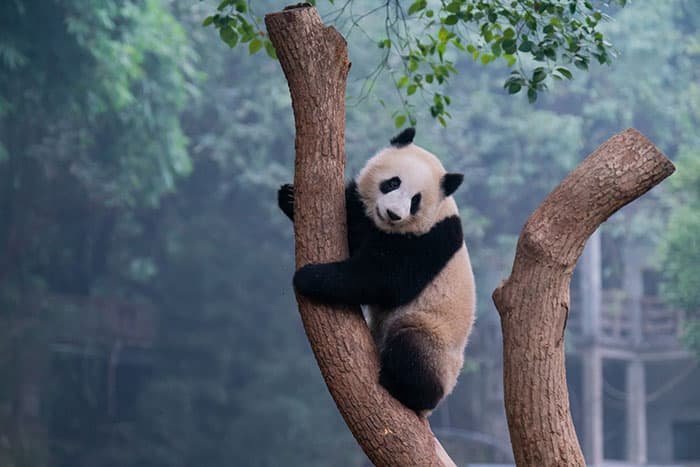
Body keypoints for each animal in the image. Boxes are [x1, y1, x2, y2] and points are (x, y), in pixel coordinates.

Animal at [278, 128, 475, 416]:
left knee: (411, 346)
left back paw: (406, 390)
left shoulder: (430, 241)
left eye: (416, 200)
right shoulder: (366, 217)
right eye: (393, 183)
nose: (393, 214)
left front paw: (308, 277)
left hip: (435, 337)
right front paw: (289, 197)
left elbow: (383, 279)